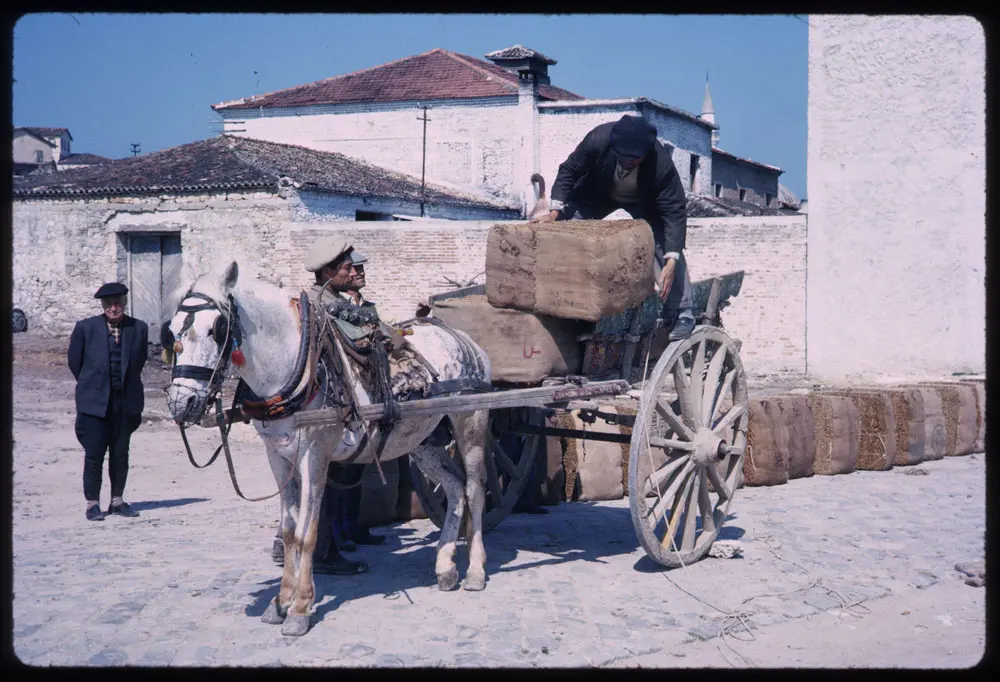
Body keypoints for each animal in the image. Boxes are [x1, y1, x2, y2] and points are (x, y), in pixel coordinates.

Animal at [163, 260, 492, 632]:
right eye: (171, 330)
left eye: (216, 329)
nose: (181, 403)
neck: (295, 361)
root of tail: (462, 338)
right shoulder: (278, 456)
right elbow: (289, 531)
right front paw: (280, 602)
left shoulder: (315, 454)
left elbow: (308, 532)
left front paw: (300, 608)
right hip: (423, 439)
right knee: (454, 486)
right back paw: (445, 566)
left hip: (470, 420)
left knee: (474, 489)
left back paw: (475, 570)